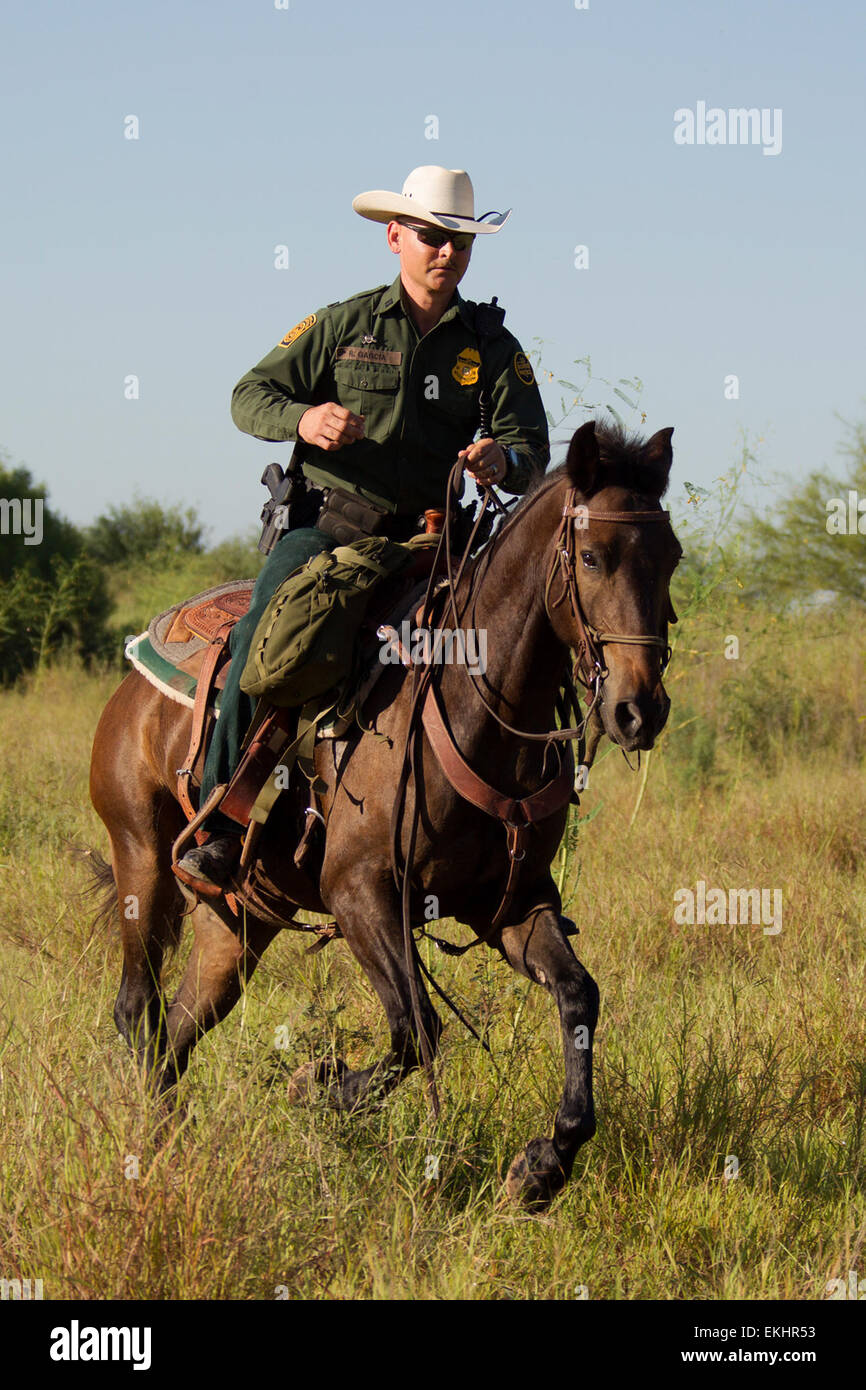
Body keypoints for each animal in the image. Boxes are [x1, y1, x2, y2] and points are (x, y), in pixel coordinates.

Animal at [88, 418, 682, 1210]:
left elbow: (577, 998)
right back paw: (154, 1147)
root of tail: (134, 679)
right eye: (591, 555)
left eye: (671, 559)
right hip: (143, 859)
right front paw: (317, 1087)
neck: (470, 700)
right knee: (137, 1008)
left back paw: (172, 1144)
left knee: (177, 1030)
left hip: (241, 918)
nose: (638, 710)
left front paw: (542, 1165)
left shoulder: (512, 903)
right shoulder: (360, 891)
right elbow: (416, 1028)